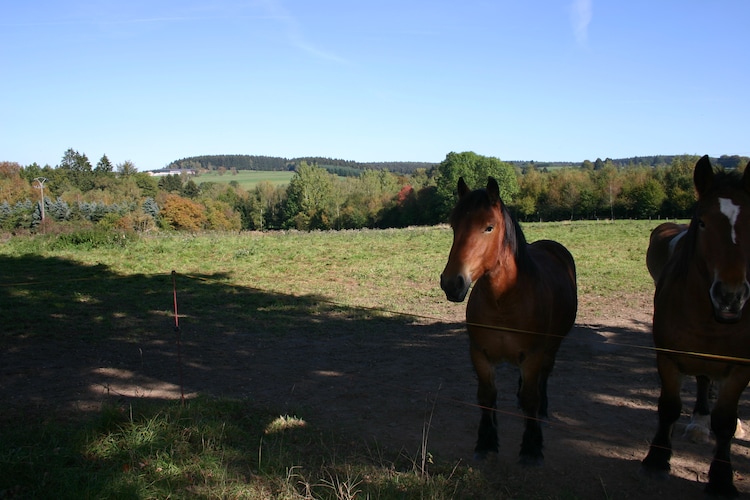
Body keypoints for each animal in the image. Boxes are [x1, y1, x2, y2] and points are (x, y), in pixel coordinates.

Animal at [440, 176, 576, 464]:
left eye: (488, 227)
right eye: (454, 226)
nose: (452, 283)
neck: (504, 299)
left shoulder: (533, 355)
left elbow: (531, 398)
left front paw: (532, 448)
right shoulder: (479, 354)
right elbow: (486, 396)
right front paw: (486, 442)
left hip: (551, 347)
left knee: (542, 379)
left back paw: (542, 411)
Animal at [644, 155, 750, 496]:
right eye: (701, 222)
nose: (731, 296)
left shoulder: (740, 366)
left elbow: (725, 421)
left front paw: (721, 478)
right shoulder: (666, 356)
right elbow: (668, 407)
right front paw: (657, 459)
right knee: (704, 381)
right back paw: (699, 421)